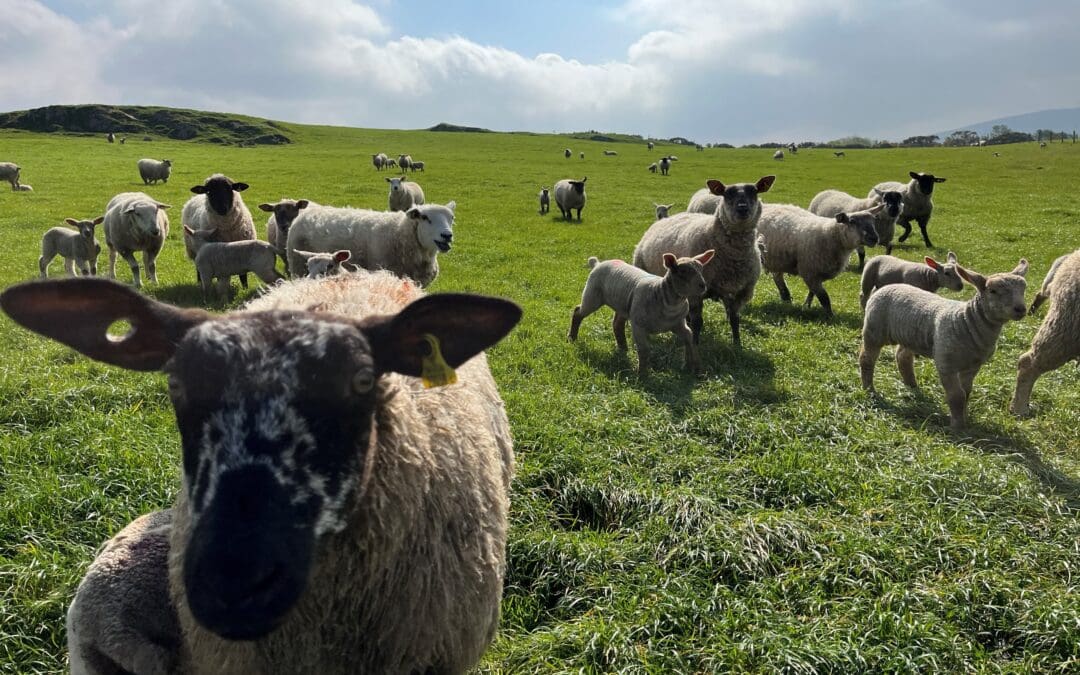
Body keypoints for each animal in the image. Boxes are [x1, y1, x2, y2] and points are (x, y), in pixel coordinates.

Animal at [568, 250, 715, 376]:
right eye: (683, 271)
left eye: (701, 269)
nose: (703, 286)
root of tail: (598, 263)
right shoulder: (638, 325)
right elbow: (644, 350)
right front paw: (643, 375)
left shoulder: (679, 324)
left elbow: (690, 339)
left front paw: (695, 367)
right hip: (592, 296)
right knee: (578, 312)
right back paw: (572, 338)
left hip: (624, 305)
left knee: (617, 324)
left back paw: (623, 348)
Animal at [633, 176, 776, 346]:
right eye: (727, 194)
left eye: (754, 191)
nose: (742, 209)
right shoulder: (696, 293)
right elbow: (698, 322)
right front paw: (695, 343)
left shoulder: (739, 292)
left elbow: (735, 319)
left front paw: (737, 344)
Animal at [860, 259, 1029, 428]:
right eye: (993, 291)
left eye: (1023, 289)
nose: (1020, 309)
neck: (967, 322)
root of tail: (882, 288)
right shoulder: (946, 364)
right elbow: (956, 396)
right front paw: (957, 427)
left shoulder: (973, 366)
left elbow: (966, 393)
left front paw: (963, 417)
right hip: (874, 330)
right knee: (866, 359)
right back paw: (869, 389)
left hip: (909, 336)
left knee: (903, 357)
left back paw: (912, 385)